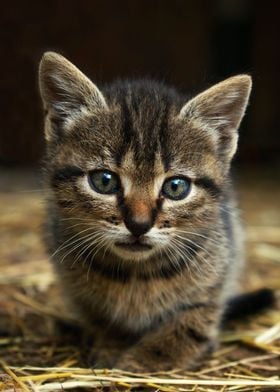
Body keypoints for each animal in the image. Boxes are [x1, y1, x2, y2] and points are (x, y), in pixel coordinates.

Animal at [38, 52, 252, 370]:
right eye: (104, 181)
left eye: (176, 187)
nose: (138, 224)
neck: (137, 275)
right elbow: (102, 319)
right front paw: (111, 345)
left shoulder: (216, 279)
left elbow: (190, 325)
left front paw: (142, 361)